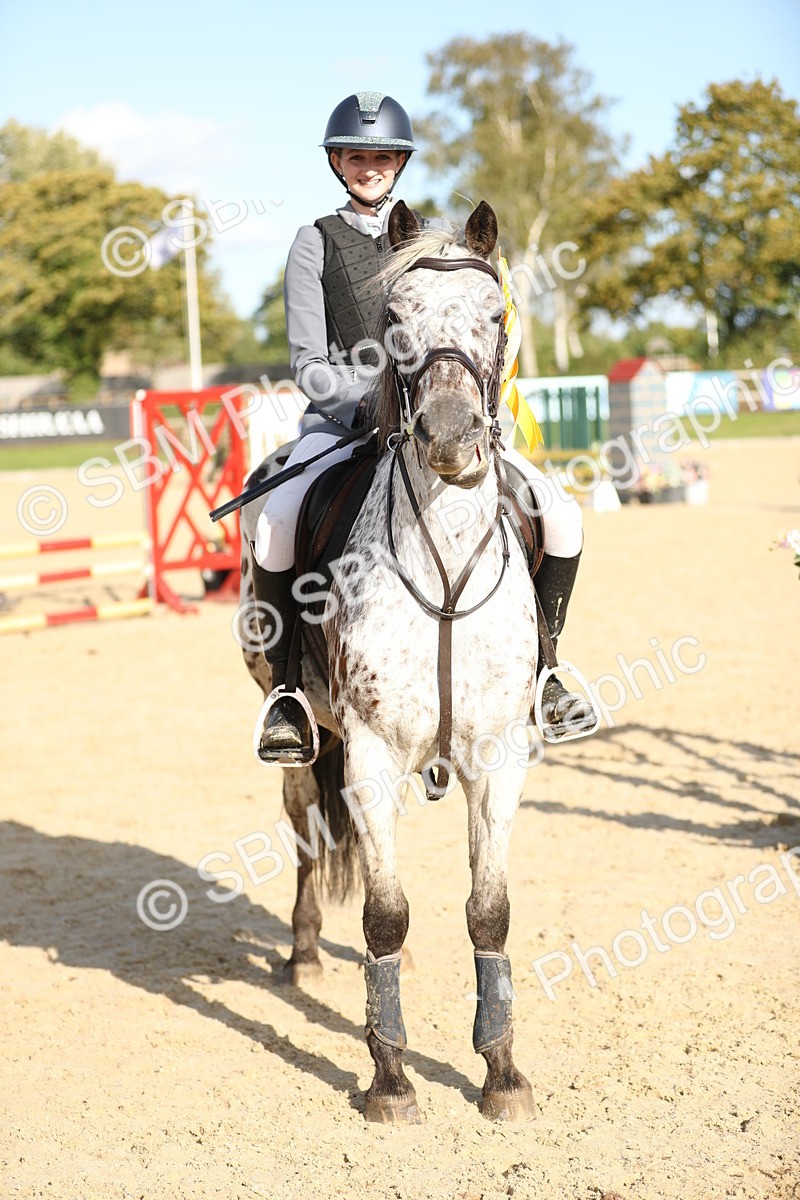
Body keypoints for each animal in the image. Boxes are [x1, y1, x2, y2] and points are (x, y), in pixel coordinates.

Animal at [238, 200, 539, 1124]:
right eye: (394, 320)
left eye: (495, 317)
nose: (448, 437)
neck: (441, 568)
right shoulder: (369, 753)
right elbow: (384, 915)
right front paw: (389, 1079)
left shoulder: (497, 758)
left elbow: (489, 912)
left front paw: (501, 1074)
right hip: (310, 730)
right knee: (304, 821)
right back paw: (303, 954)